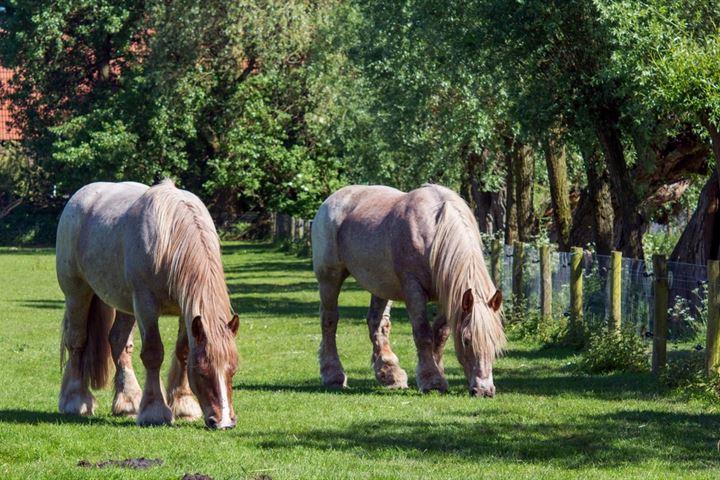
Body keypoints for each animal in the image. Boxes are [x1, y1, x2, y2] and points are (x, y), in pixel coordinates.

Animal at [56, 180, 240, 428]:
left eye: (233, 370)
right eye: (202, 371)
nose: (224, 422)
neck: (171, 238)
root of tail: (80, 196)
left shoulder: (185, 310)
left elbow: (182, 351)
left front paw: (183, 404)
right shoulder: (145, 304)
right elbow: (153, 353)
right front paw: (155, 410)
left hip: (125, 304)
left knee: (118, 342)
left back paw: (128, 402)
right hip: (78, 293)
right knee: (77, 341)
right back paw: (75, 401)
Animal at [310, 184, 506, 398]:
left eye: (495, 342)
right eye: (467, 340)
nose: (484, 390)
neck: (435, 231)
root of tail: (333, 199)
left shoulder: (450, 296)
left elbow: (441, 334)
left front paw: (439, 372)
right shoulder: (414, 289)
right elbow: (423, 333)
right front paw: (432, 380)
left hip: (381, 286)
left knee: (377, 324)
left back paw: (390, 374)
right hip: (329, 278)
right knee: (329, 321)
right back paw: (333, 376)